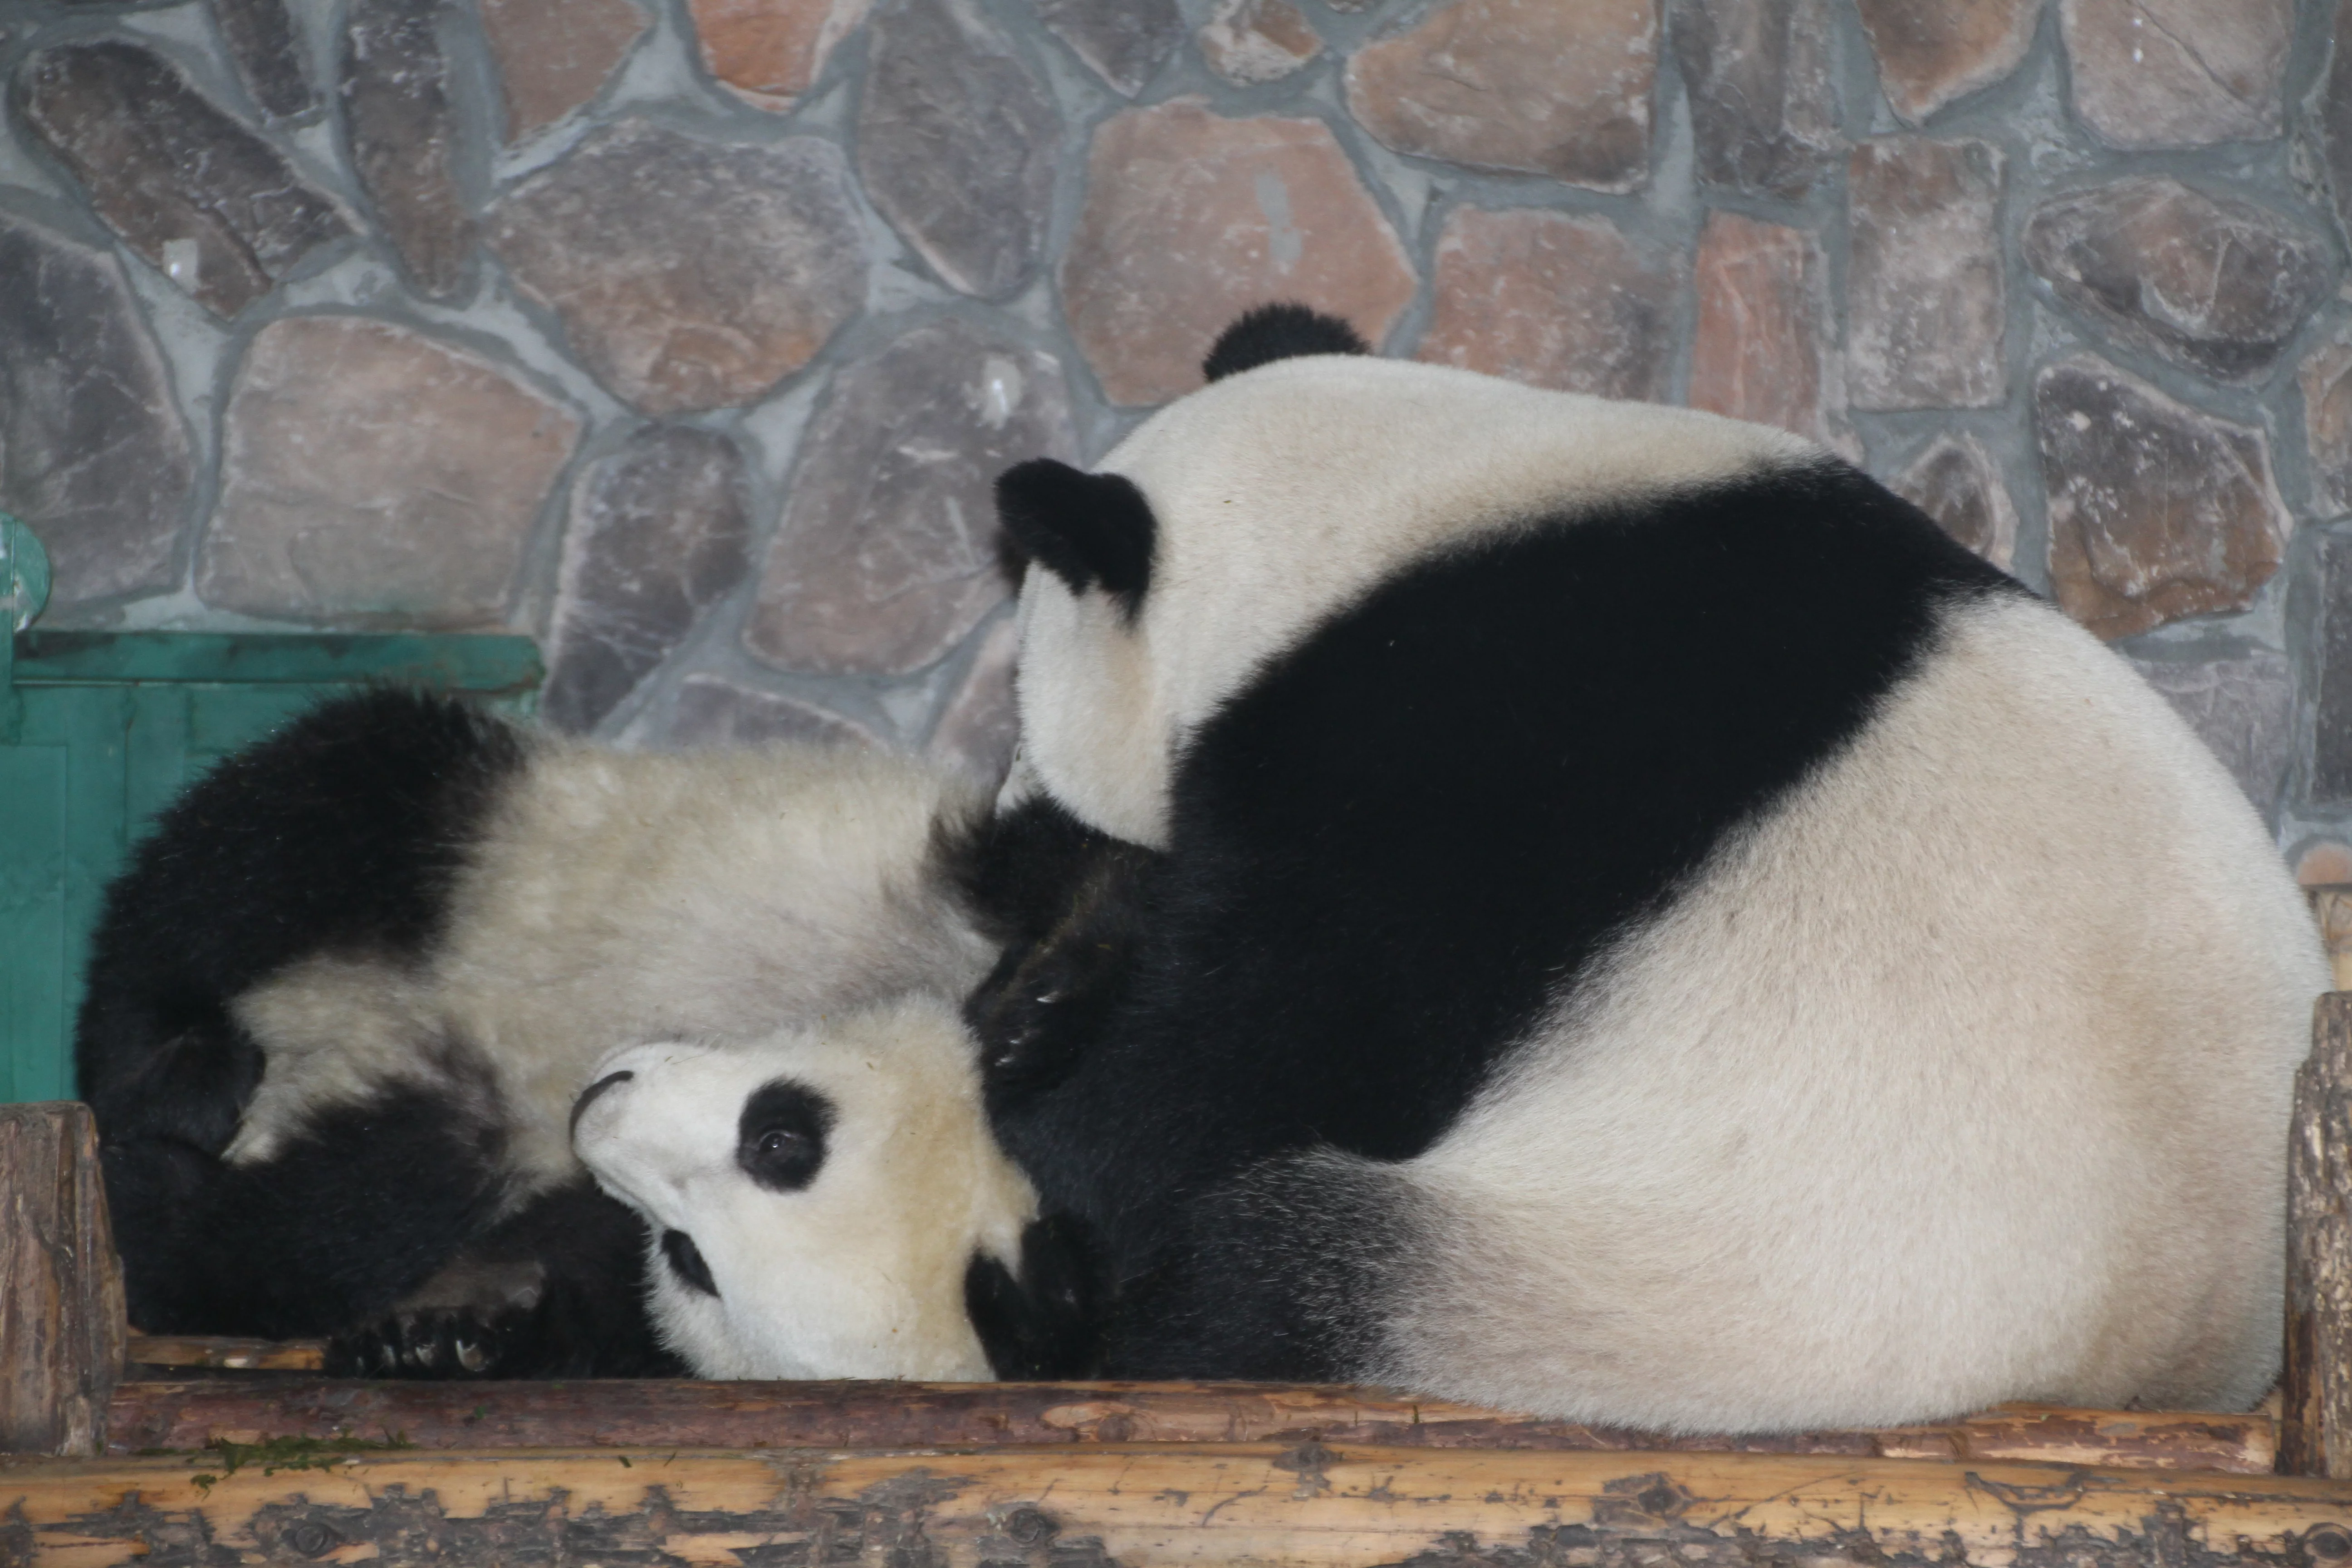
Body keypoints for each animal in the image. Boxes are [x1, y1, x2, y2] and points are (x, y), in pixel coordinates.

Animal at [77, 686, 1006, 1377]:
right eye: (777, 1135)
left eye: (695, 1256)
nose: (601, 1112)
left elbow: (607, 1296)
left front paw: (447, 1340)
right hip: (503, 832)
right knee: (274, 842)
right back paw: (178, 1073)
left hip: (448, 1116)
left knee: (332, 1221)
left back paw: (164, 1187)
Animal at [963, 303, 2331, 1430]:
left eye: (1025, 706)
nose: (1013, 820)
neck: (1368, 528)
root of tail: (2160, 1367)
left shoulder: (1457, 761)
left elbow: (1278, 1040)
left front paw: (1044, 1075)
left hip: (1650, 1291)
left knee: (1270, 1276)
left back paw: (1077, 1313)